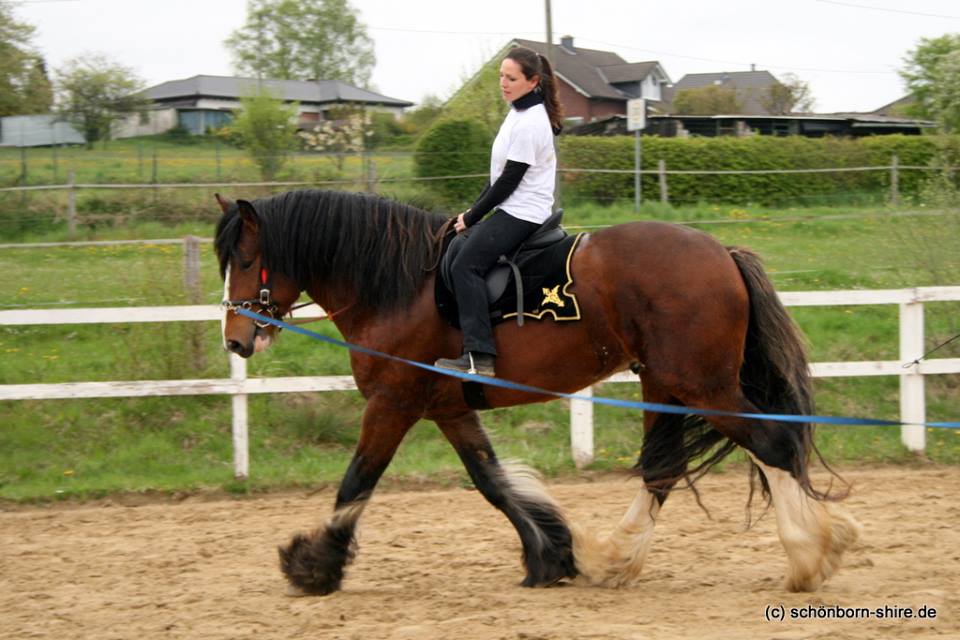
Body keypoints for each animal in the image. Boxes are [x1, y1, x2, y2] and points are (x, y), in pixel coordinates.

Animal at [214, 189, 860, 596]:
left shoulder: (393, 404)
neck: (397, 286)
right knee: (663, 470)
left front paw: (313, 566)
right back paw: (616, 557)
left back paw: (810, 557)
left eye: (245, 258)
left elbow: (357, 482)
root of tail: (721, 253)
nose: (236, 340)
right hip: (665, 385)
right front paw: (549, 556)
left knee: (773, 445)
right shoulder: (447, 408)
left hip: (704, 387)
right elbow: (492, 483)